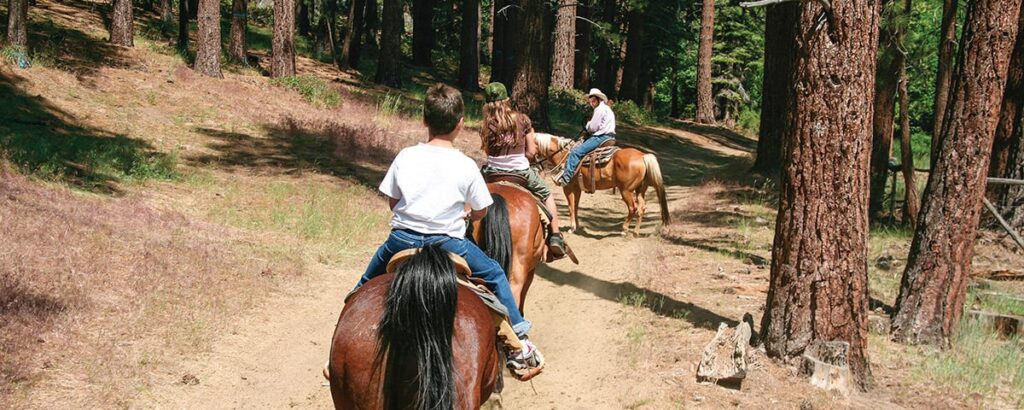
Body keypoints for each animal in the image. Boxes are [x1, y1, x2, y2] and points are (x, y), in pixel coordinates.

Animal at [532, 133, 667, 235]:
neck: (563, 156)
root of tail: (642, 156)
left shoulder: (568, 188)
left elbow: (570, 207)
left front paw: (572, 228)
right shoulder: (577, 189)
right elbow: (576, 207)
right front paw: (577, 226)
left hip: (626, 190)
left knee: (632, 208)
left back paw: (624, 229)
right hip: (640, 190)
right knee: (641, 207)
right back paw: (636, 232)